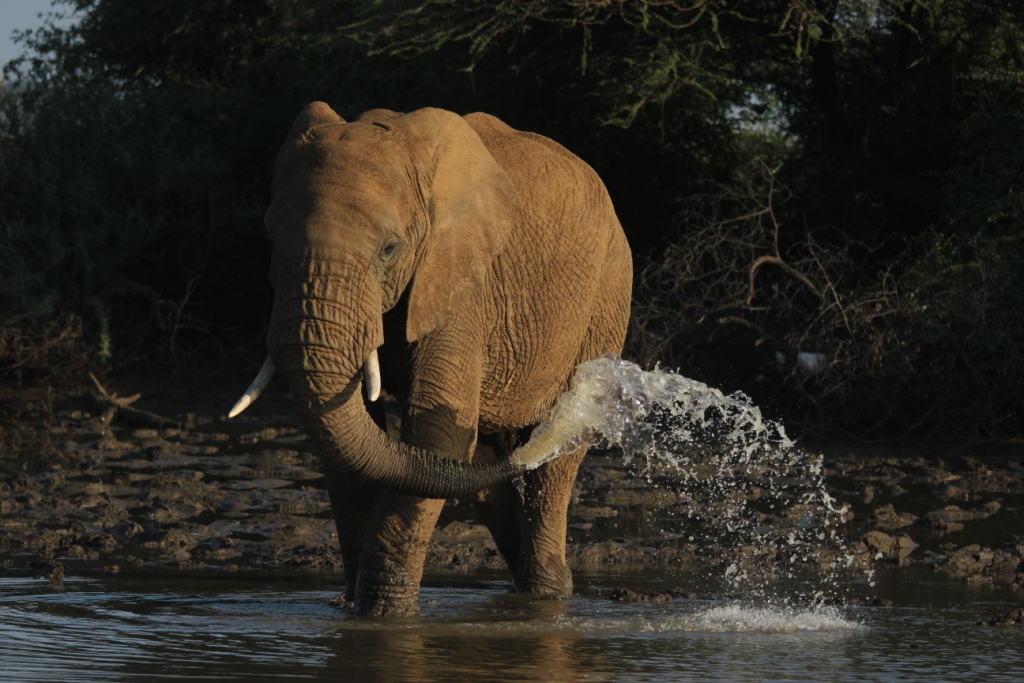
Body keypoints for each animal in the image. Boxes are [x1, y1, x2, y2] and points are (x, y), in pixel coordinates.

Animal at [230, 102, 632, 616]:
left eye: (389, 249)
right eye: (271, 241)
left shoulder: (460, 280)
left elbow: (435, 431)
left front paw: (385, 616)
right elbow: (363, 442)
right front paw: (354, 612)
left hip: (606, 299)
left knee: (554, 466)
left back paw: (546, 594)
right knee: (479, 457)